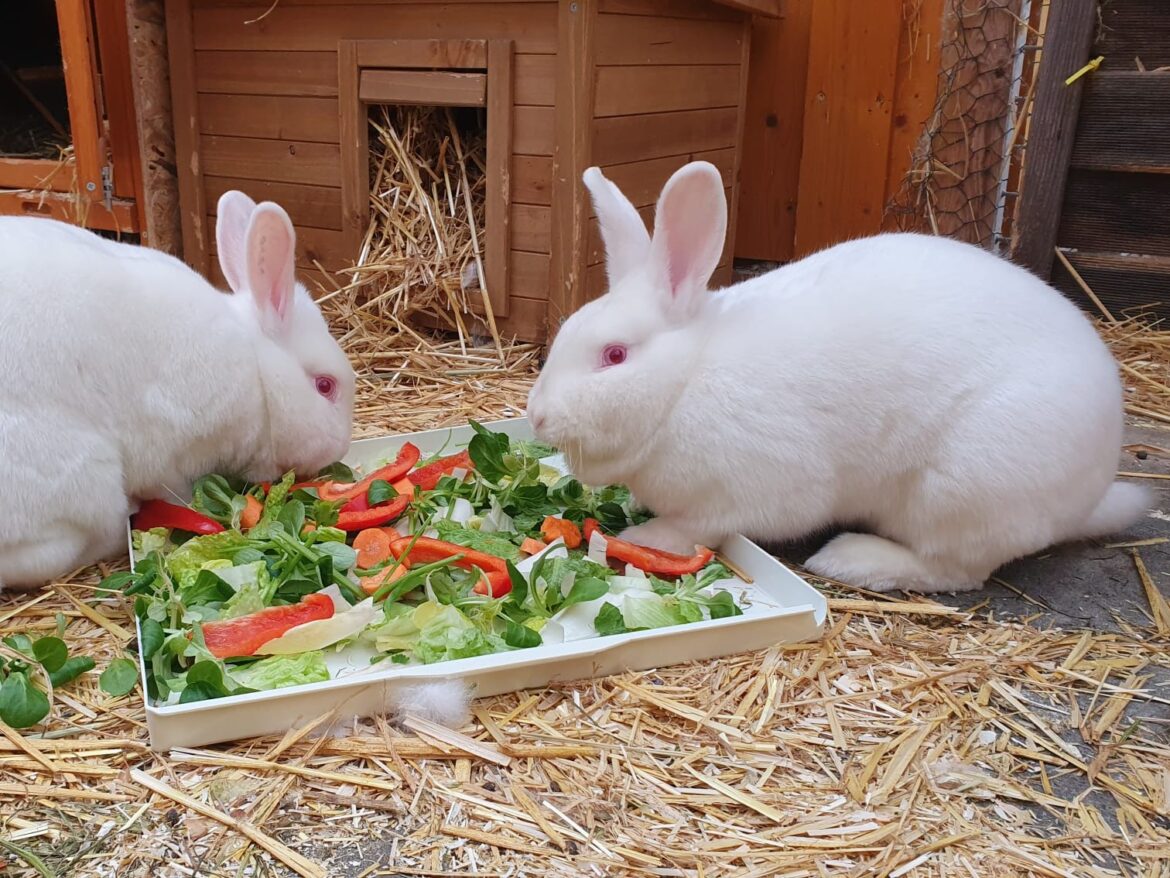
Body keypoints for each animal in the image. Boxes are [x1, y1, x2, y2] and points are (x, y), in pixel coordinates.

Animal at [0, 191, 355, 590]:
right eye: (324, 386)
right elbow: (175, 492)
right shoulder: (168, 448)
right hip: (82, 480)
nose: (340, 446)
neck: (257, 373)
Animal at [524, 161, 1152, 594]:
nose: (537, 415)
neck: (684, 384)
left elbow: (697, 525)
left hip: (963, 490)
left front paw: (644, 540)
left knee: (955, 568)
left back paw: (851, 559)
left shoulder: (752, 489)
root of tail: (1090, 494)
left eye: (614, 356)